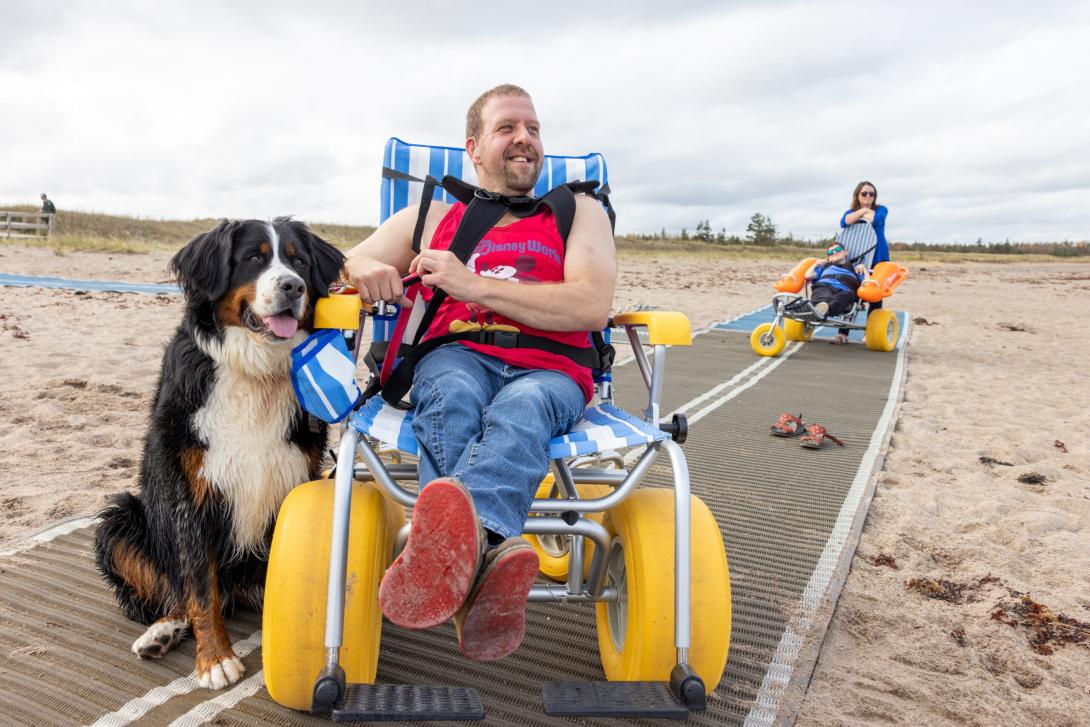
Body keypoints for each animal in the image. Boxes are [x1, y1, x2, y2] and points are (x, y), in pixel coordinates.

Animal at [99, 215, 344, 688]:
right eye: (253, 259)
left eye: (299, 262)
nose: (293, 287)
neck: (256, 370)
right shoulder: (189, 493)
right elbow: (199, 587)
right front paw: (215, 659)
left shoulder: (294, 480)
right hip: (123, 518)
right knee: (175, 592)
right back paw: (161, 632)